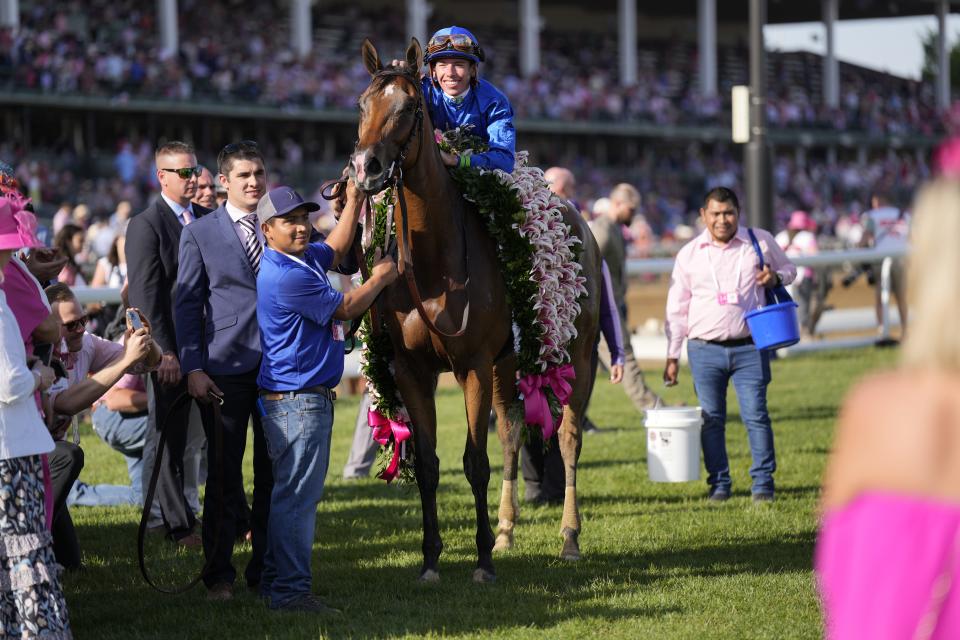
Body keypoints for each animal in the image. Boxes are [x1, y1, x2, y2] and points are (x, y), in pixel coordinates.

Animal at [344, 36, 600, 584]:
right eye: (361, 104)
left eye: (410, 107)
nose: (367, 168)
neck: (436, 265)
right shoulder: (412, 370)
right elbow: (430, 463)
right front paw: (431, 559)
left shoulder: (473, 365)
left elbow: (474, 462)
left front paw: (481, 561)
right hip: (509, 361)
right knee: (511, 433)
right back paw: (505, 532)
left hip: (579, 354)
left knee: (568, 438)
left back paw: (569, 537)